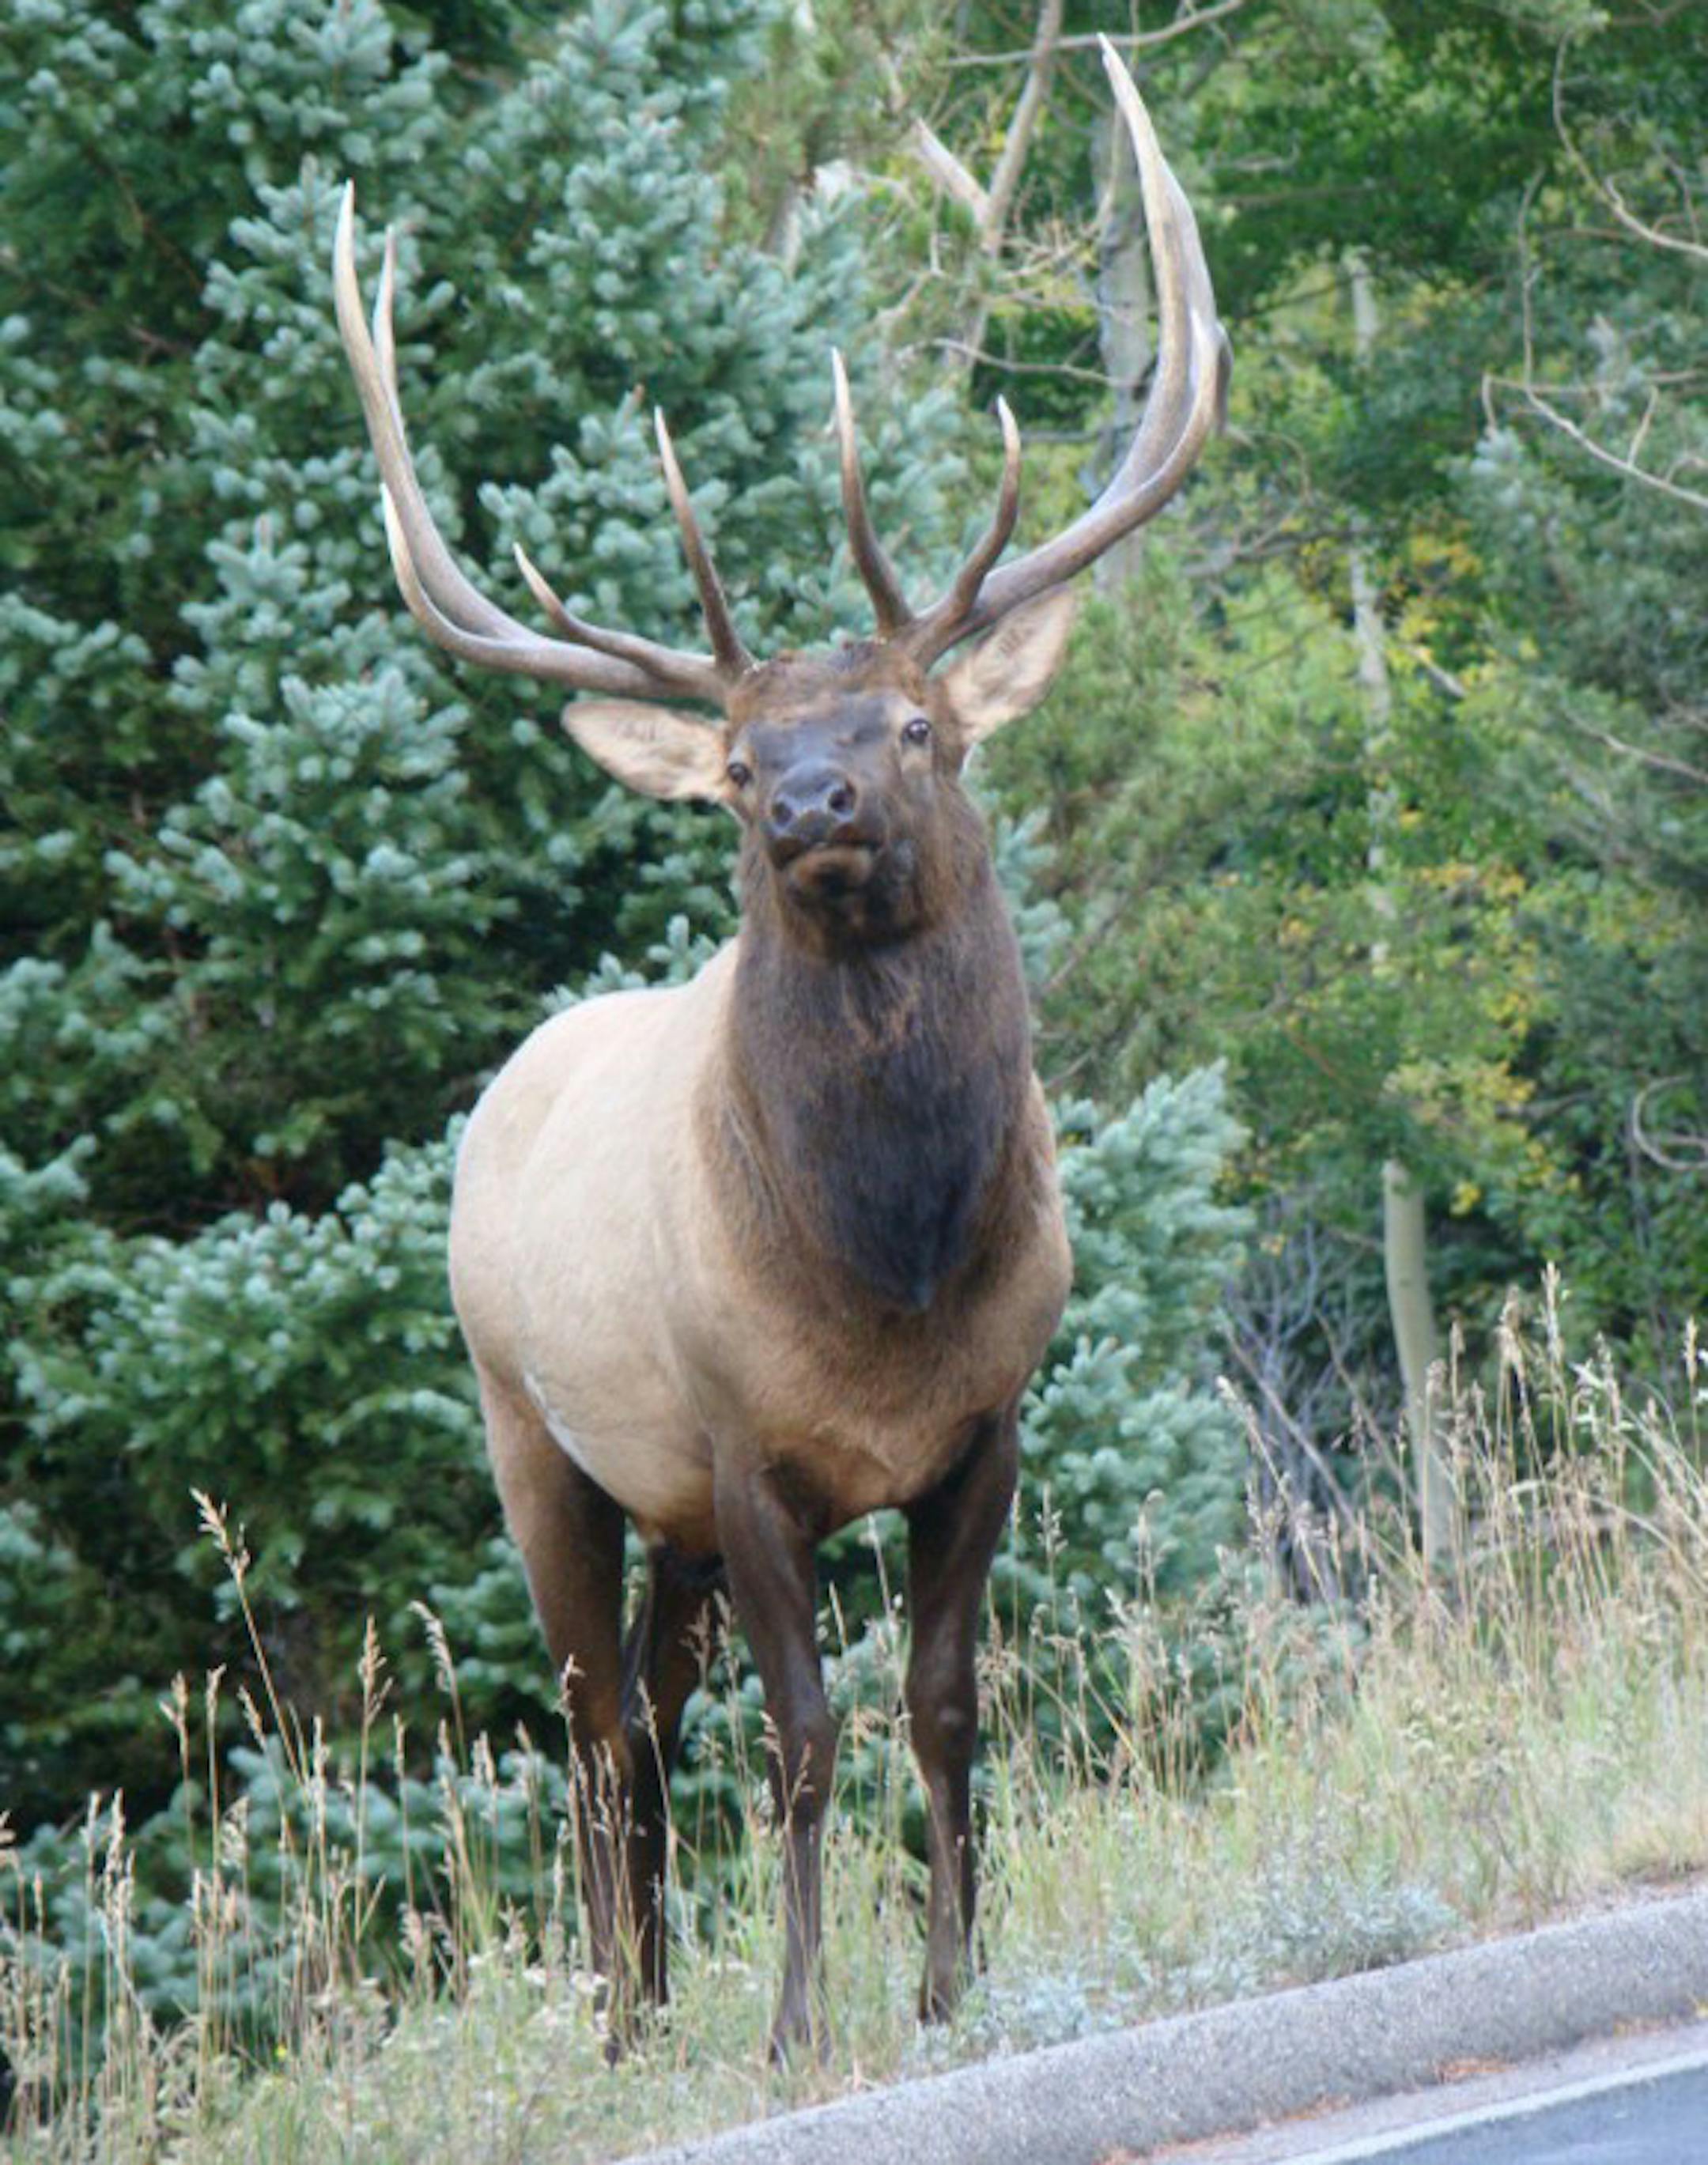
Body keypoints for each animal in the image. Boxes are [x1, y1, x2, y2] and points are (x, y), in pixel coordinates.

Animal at [333, 39, 1225, 2061]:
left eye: (913, 723)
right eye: (738, 766)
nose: (813, 802)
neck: (887, 1274)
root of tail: (507, 1083)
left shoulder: (988, 1426)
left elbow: (948, 1706)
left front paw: (954, 1983)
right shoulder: (740, 1450)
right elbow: (806, 1742)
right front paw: (803, 2021)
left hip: (649, 1502)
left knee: (648, 1721)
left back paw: (650, 1989)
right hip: (537, 1434)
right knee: (598, 1727)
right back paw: (621, 2014)